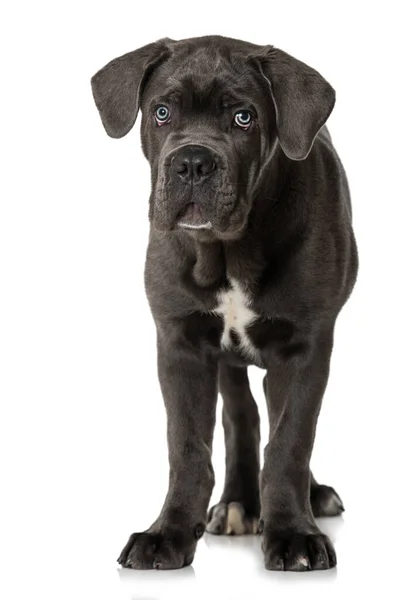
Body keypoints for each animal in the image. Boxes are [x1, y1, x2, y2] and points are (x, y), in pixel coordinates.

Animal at [92, 35, 358, 568]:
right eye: (162, 112)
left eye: (243, 117)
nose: (193, 162)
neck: (227, 250)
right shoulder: (181, 345)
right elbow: (188, 447)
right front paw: (168, 533)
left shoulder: (305, 348)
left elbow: (291, 441)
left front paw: (294, 533)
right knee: (242, 417)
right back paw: (239, 502)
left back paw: (307, 498)